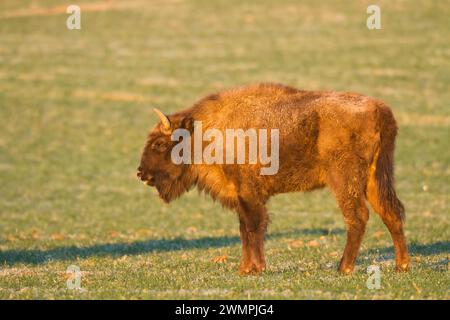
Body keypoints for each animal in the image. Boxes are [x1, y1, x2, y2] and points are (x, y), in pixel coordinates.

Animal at [136, 83, 408, 276]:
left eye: (159, 144)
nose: (140, 173)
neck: (204, 133)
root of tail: (379, 110)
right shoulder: (242, 197)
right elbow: (246, 229)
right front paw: (246, 269)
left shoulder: (249, 194)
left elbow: (253, 228)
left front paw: (254, 269)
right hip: (374, 178)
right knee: (391, 213)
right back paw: (401, 266)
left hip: (345, 180)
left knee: (358, 217)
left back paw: (344, 268)